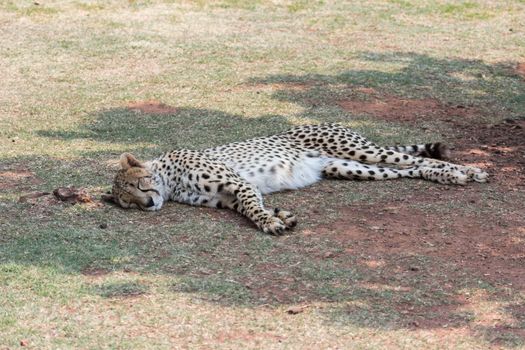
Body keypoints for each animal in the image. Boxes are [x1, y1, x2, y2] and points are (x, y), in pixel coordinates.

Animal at [109, 123, 488, 235]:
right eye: (128, 202)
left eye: (139, 185)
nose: (148, 203)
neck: (169, 180)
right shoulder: (227, 198)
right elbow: (252, 208)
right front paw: (281, 217)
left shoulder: (240, 185)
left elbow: (254, 209)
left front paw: (270, 223)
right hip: (348, 167)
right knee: (407, 170)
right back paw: (448, 175)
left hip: (362, 152)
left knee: (417, 158)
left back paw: (465, 171)